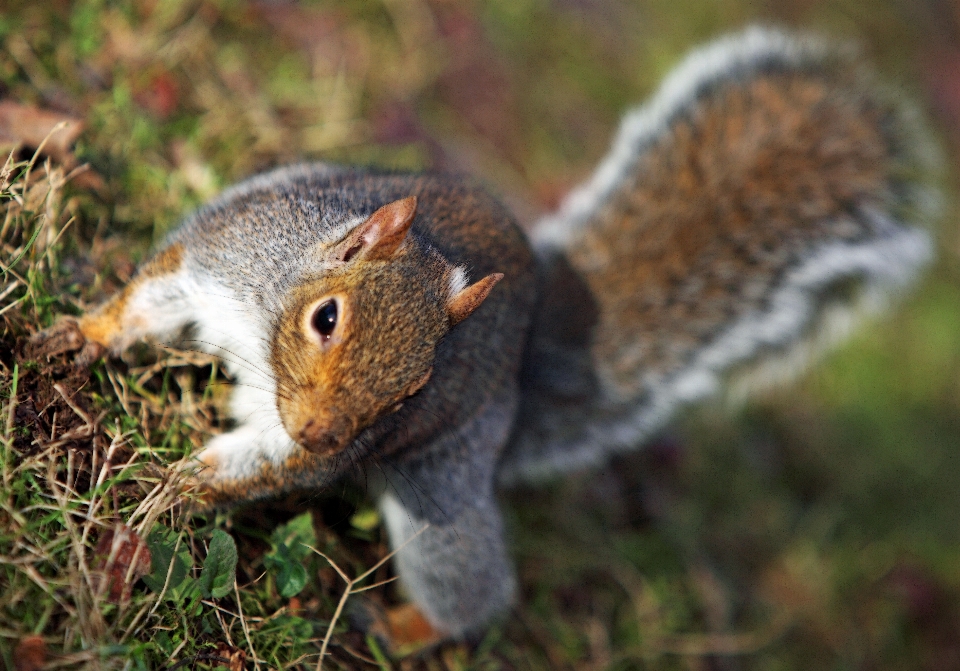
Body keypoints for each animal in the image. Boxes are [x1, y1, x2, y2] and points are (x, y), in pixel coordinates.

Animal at [33, 26, 940, 644]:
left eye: (413, 389)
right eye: (326, 318)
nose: (326, 429)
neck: (264, 331)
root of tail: (521, 375)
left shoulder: (328, 444)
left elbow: (265, 465)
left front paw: (179, 485)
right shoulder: (222, 255)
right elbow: (149, 298)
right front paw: (81, 335)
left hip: (442, 486)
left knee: (471, 583)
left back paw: (406, 628)